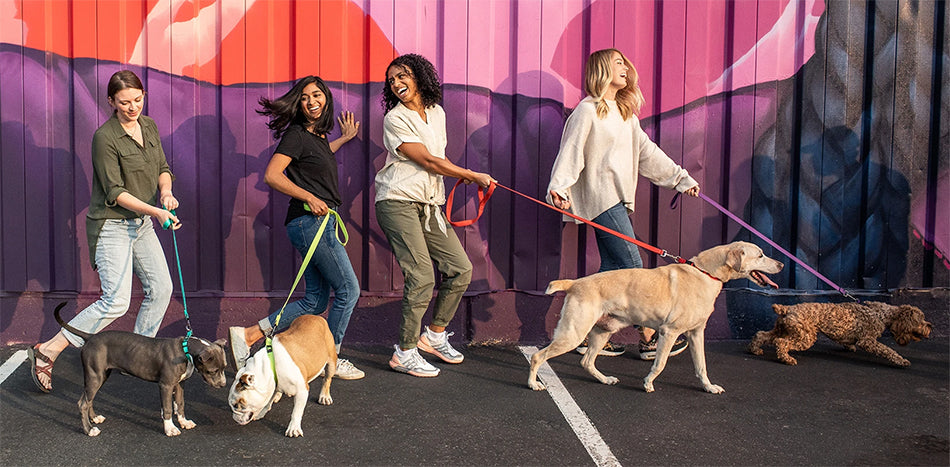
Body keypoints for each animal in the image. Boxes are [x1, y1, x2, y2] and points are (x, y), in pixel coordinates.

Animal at [53, 302, 228, 436]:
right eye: (213, 371)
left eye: (224, 367)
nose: (223, 385)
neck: (186, 350)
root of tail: (90, 337)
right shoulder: (165, 385)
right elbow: (167, 408)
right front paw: (170, 428)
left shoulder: (179, 384)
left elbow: (180, 404)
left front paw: (184, 422)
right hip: (95, 376)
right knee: (83, 403)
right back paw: (89, 430)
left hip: (100, 376)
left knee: (88, 400)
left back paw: (95, 418)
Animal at [748, 302, 932, 368]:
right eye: (921, 320)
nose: (930, 326)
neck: (883, 314)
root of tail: (786, 309)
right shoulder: (868, 341)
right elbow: (888, 351)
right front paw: (901, 361)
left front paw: (849, 347)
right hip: (805, 337)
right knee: (781, 343)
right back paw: (787, 359)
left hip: (783, 329)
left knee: (762, 335)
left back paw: (755, 350)